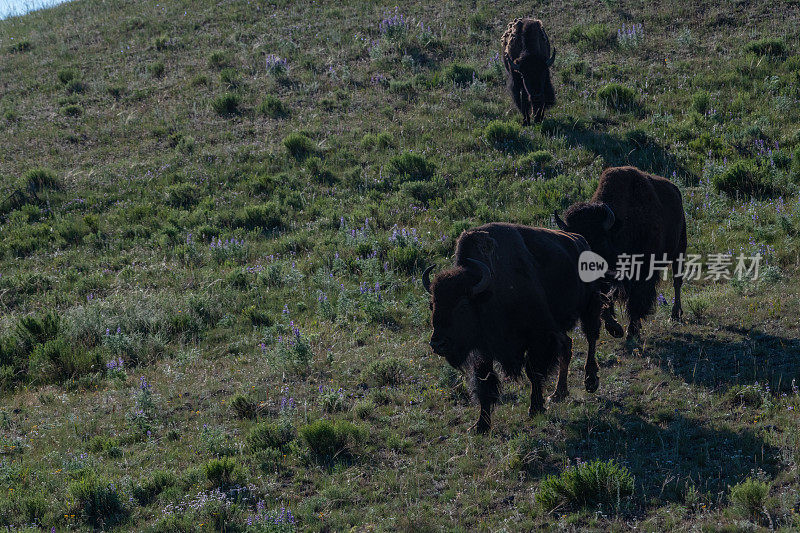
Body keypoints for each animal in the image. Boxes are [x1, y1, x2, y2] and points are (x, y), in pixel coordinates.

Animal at [422, 220, 620, 432]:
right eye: (432, 305)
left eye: (462, 306)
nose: (437, 343)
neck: (489, 293)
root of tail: (581, 241)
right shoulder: (484, 351)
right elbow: (484, 383)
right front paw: (480, 425)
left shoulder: (539, 338)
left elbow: (533, 372)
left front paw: (535, 408)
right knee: (567, 345)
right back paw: (558, 393)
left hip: (589, 305)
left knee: (591, 337)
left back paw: (590, 381)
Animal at [556, 166, 688, 340]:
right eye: (576, 245)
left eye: (601, 242)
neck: (620, 227)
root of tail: (675, 190)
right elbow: (605, 301)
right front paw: (615, 328)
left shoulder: (641, 272)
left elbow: (636, 301)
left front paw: (632, 331)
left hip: (679, 250)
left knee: (677, 282)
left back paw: (675, 315)